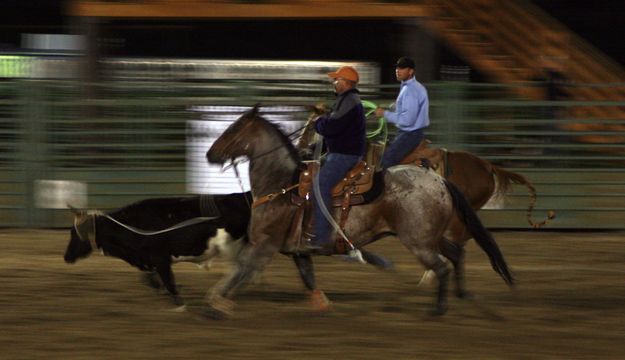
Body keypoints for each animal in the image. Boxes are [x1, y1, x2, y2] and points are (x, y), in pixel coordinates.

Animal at [62, 191, 250, 304]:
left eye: (75, 234)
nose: (66, 256)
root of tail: (240, 196)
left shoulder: (160, 259)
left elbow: (168, 282)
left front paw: (179, 303)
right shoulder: (148, 261)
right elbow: (151, 280)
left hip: (231, 248)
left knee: (239, 270)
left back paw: (220, 296)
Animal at [205, 105, 512, 316]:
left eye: (232, 130)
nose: (210, 154)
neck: (282, 184)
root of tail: (438, 180)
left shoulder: (264, 243)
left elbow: (241, 269)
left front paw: (216, 303)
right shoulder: (297, 250)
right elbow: (307, 277)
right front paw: (322, 304)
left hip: (419, 241)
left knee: (442, 266)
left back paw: (437, 310)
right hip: (431, 236)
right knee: (456, 254)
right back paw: (463, 296)